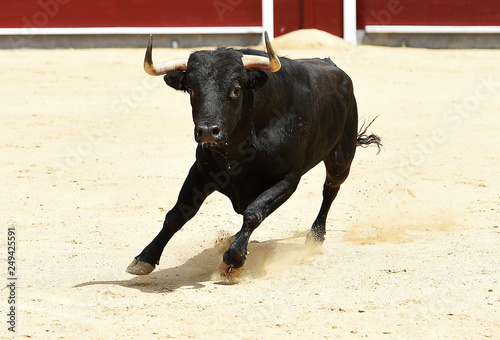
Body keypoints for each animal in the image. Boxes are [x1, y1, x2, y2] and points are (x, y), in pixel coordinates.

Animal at [127, 33, 380, 280]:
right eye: (191, 89)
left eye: (236, 89)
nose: (208, 131)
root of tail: (331, 64)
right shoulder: (201, 171)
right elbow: (178, 212)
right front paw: (145, 258)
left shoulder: (288, 179)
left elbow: (254, 213)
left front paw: (233, 260)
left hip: (341, 159)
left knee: (329, 190)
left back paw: (315, 237)